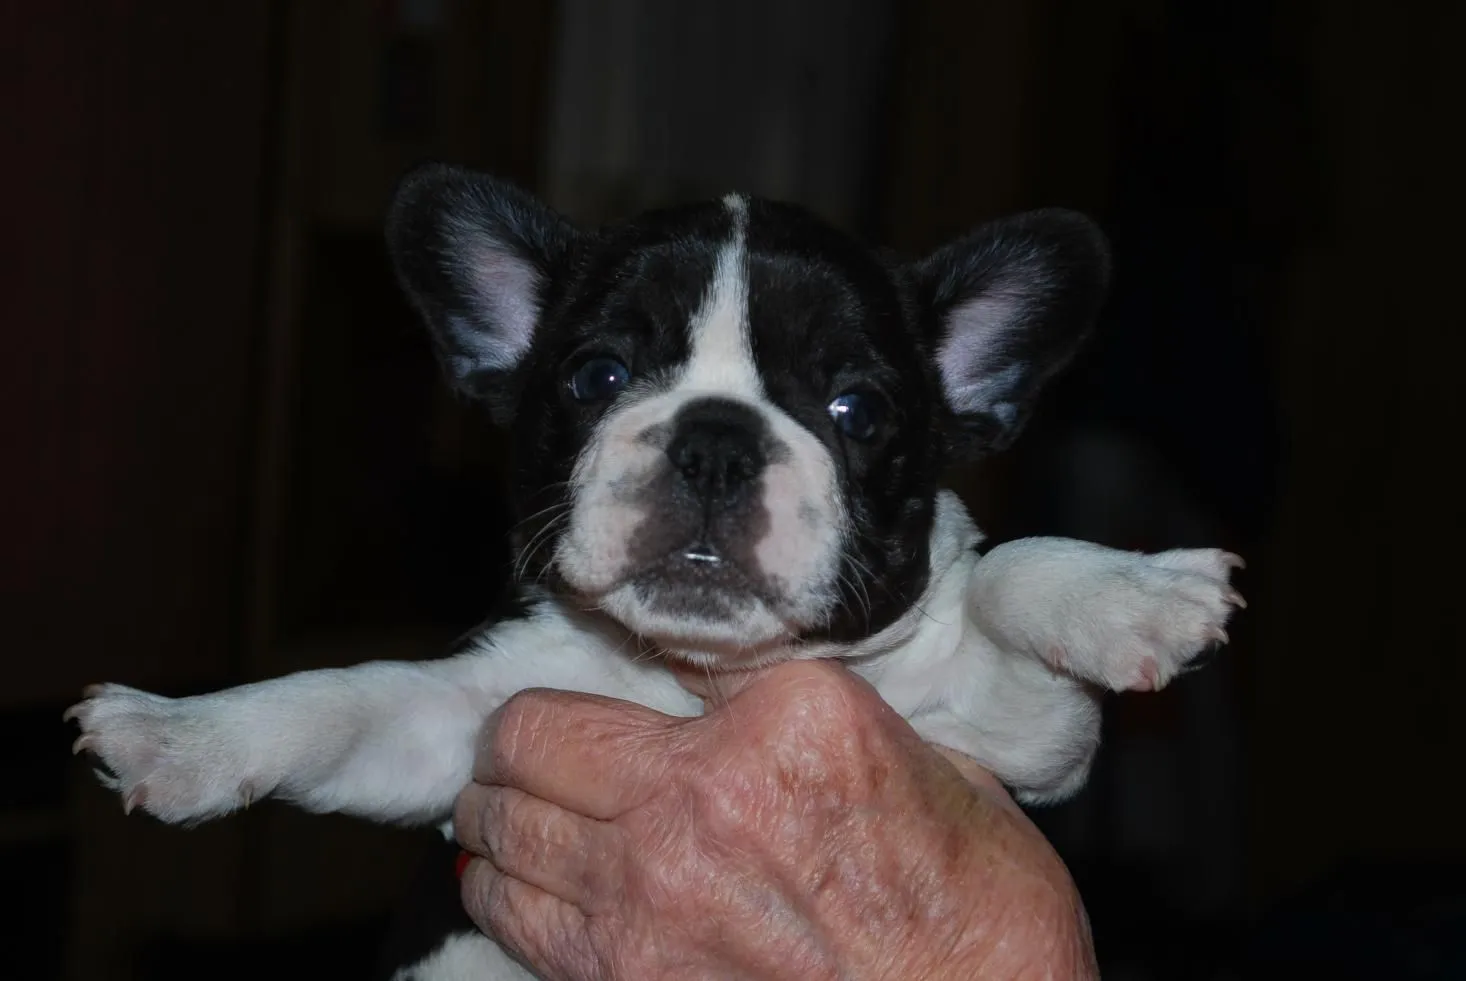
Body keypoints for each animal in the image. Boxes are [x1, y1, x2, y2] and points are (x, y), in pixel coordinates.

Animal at [65, 164, 1244, 980]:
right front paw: (183, 734)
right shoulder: (468, 726)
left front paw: (1135, 592)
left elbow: (1006, 574)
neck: (691, 675)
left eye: (857, 410)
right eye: (598, 375)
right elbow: (340, 702)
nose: (714, 440)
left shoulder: (1011, 738)